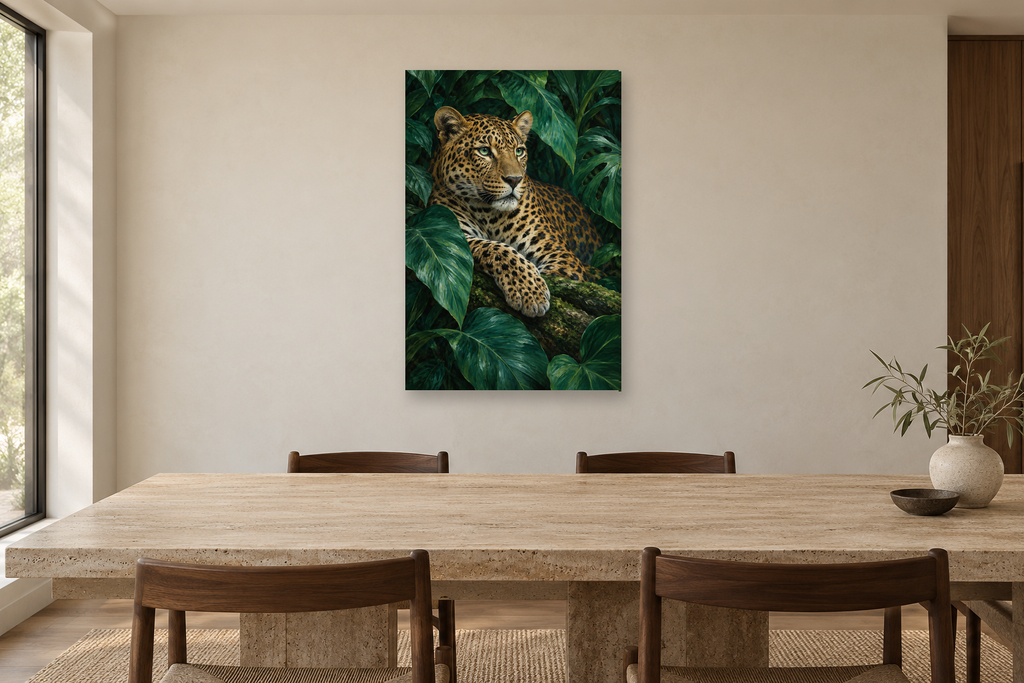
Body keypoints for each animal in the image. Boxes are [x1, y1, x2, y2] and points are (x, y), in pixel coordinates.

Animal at [428, 106, 603, 318]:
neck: (488, 213)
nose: (514, 179)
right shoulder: (451, 234)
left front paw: (530, 290)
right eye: (484, 151)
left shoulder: (561, 256)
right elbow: (497, 249)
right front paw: (529, 289)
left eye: (519, 151)